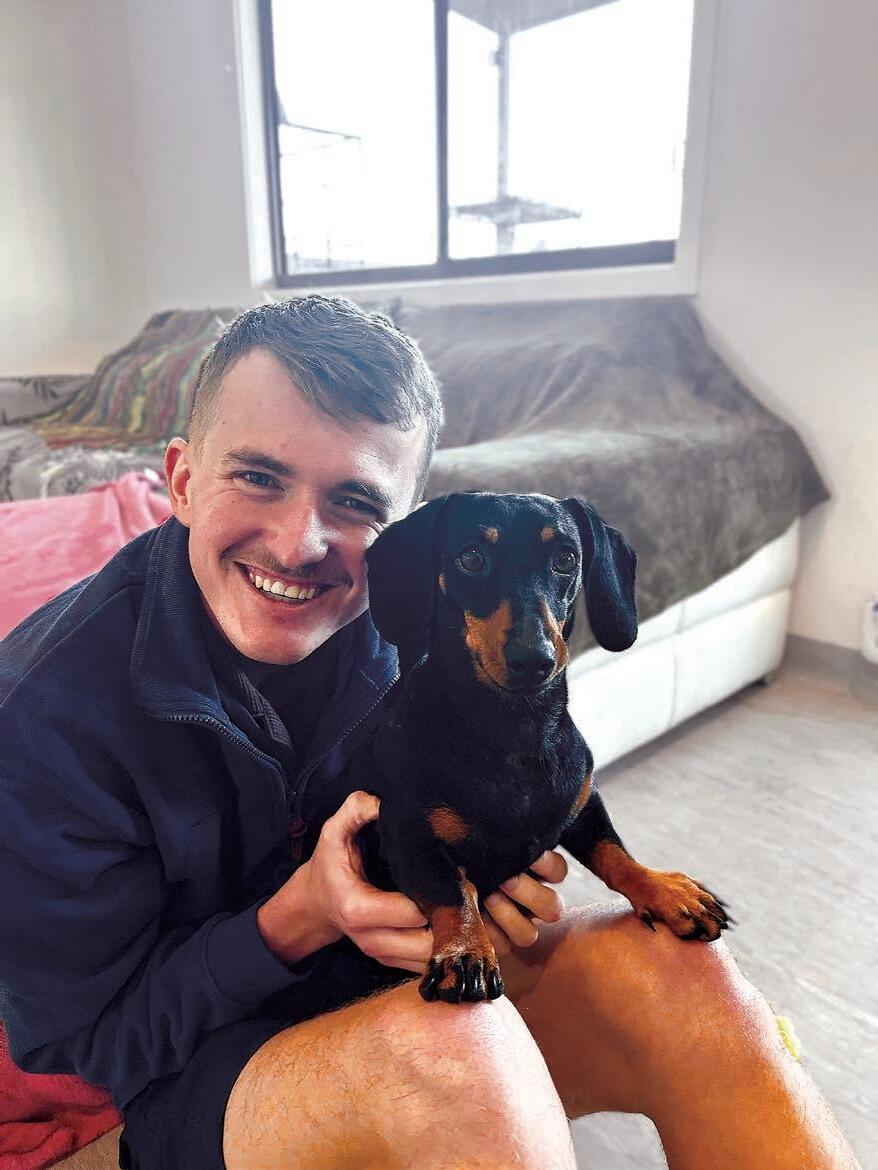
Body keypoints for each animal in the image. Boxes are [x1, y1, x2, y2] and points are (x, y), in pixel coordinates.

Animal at [303, 492, 730, 1004]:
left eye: (565, 559)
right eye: (471, 557)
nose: (534, 659)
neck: (515, 730)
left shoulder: (581, 801)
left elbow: (613, 852)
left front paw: (666, 891)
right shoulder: (405, 836)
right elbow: (452, 890)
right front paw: (466, 951)